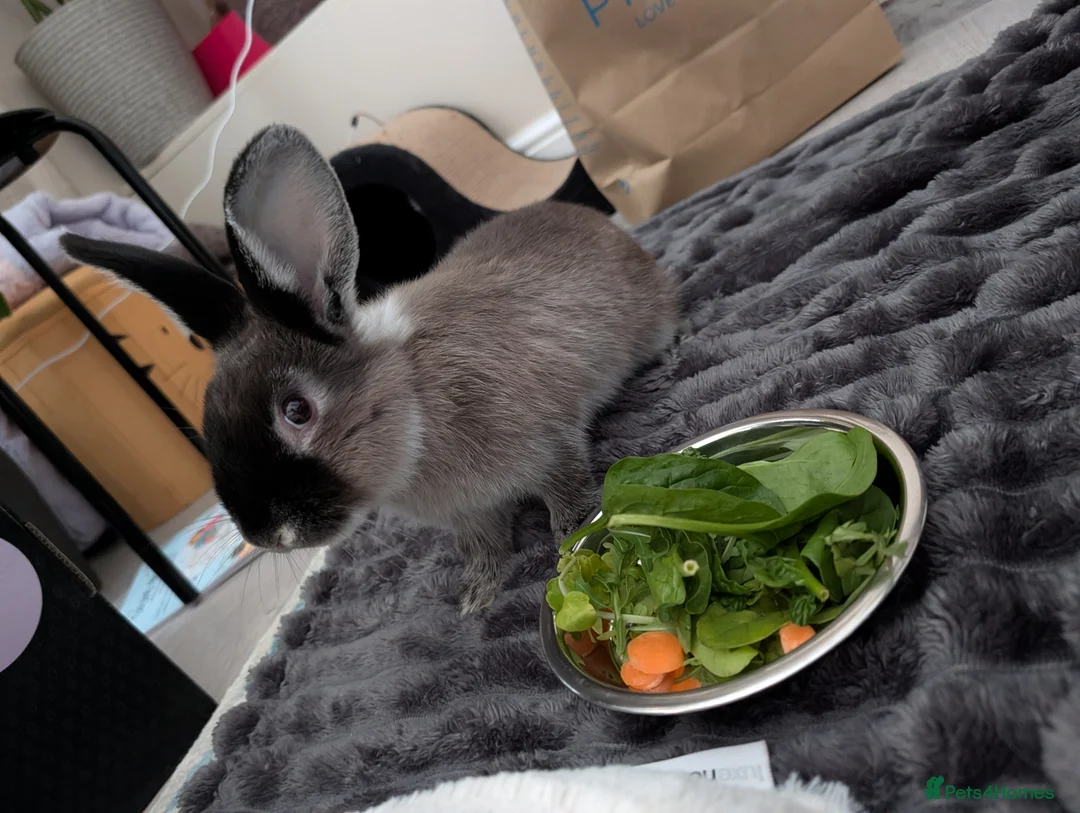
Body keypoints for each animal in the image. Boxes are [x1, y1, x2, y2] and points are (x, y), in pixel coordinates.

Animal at [61, 124, 679, 613]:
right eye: (208, 422)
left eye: (297, 411)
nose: (266, 534)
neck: (415, 405)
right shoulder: (471, 516)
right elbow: (486, 550)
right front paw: (477, 601)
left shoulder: (553, 449)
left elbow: (568, 501)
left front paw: (570, 551)